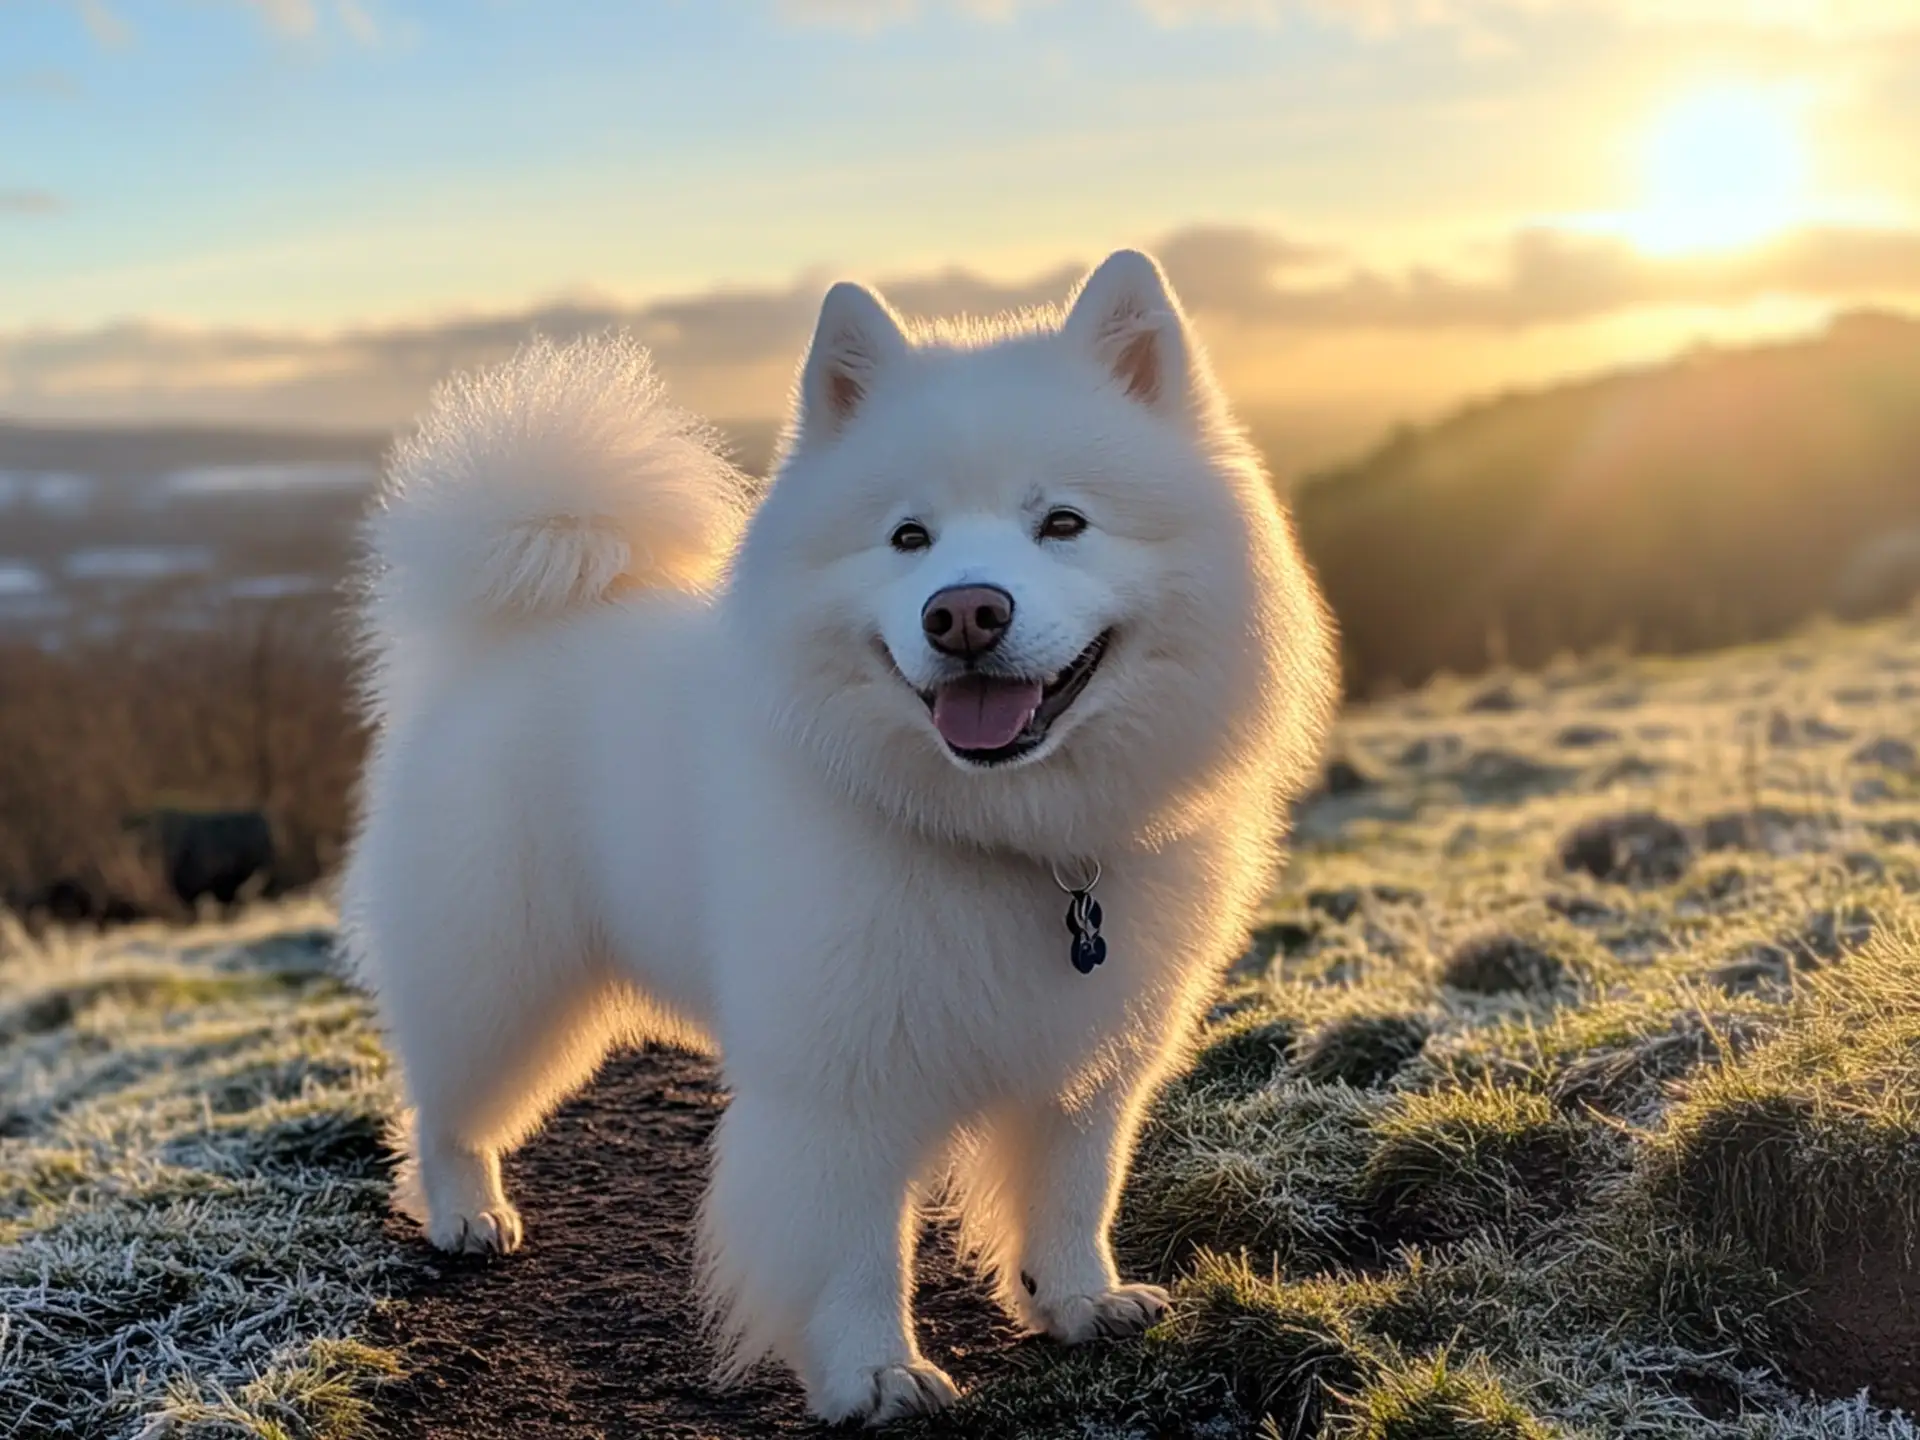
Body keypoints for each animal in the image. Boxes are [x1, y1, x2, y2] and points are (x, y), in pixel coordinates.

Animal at [345, 253, 1336, 1428]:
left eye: (1064, 523)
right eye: (909, 538)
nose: (965, 612)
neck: (1005, 834)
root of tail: (511, 636)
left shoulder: (1088, 1059)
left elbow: (1072, 1192)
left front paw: (1078, 1302)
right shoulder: (842, 1086)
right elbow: (856, 1250)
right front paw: (873, 1374)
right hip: (504, 979)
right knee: (444, 1104)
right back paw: (464, 1212)